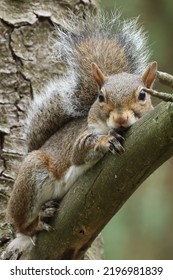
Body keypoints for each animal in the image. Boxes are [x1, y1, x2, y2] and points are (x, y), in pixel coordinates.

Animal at [6, 12, 156, 243]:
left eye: (142, 95)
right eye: (100, 97)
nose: (121, 118)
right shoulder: (79, 139)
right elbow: (82, 149)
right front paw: (107, 140)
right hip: (31, 175)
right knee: (21, 224)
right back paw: (37, 222)